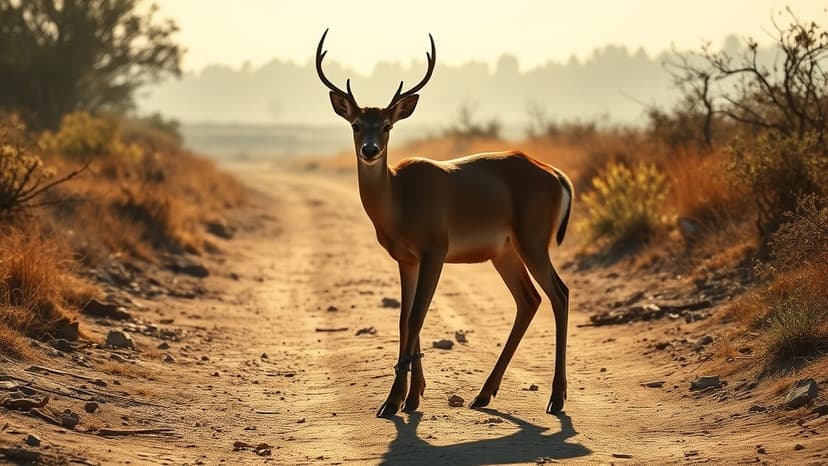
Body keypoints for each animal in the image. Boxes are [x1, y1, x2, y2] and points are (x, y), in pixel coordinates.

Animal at [315, 29, 574, 418]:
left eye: (387, 126)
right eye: (356, 124)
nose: (370, 150)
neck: (400, 199)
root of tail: (556, 174)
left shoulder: (435, 250)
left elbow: (417, 317)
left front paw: (393, 400)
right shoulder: (406, 259)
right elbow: (405, 318)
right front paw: (412, 396)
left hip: (532, 240)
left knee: (559, 293)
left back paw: (556, 398)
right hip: (504, 252)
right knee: (529, 300)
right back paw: (484, 394)